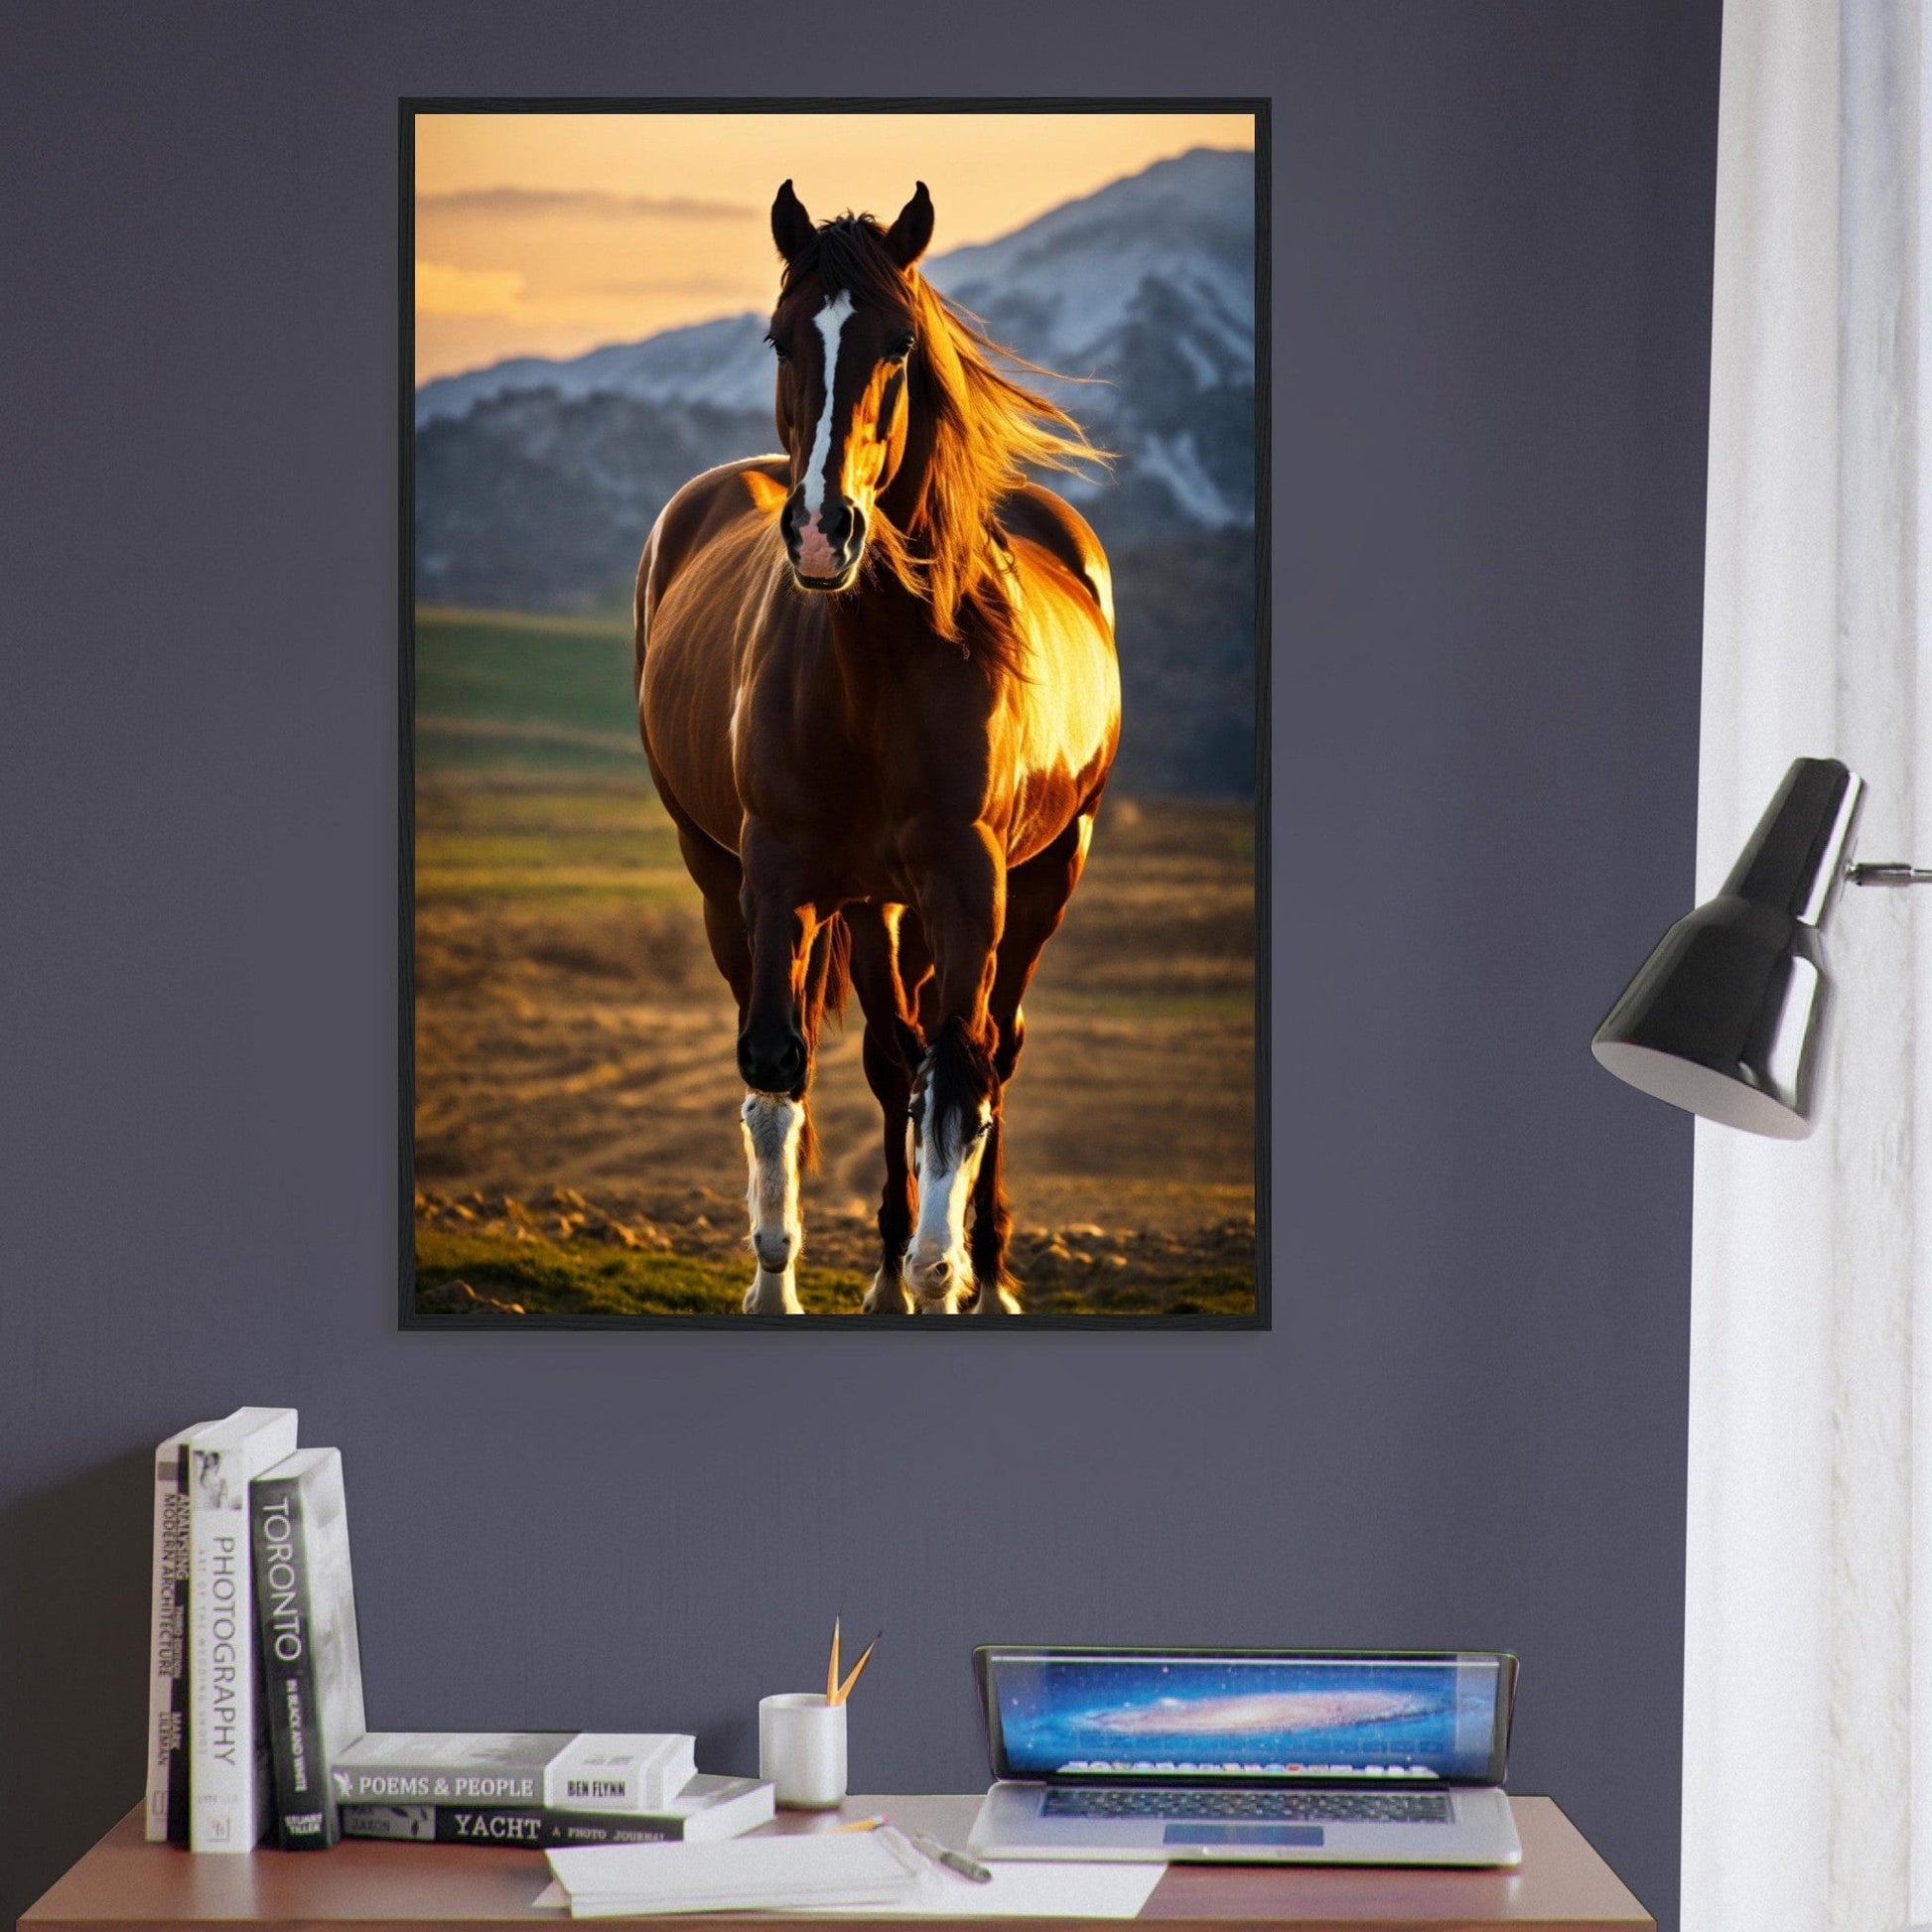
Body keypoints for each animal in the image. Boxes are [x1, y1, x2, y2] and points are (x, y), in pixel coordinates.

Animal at [634, 178, 1120, 1315]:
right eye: (780, 335)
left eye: (898, 343)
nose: (822, 531)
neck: (881, 667)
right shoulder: (778, 876)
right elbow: (780, 1065)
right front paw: (783, 1285)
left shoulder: (969, 882)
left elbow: (959, 1073)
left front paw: (946, 1275)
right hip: (792, 888)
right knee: (886, 1056)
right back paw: (889, 1272)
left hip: (1044, 874)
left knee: (990, 1053)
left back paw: (983, 1270)